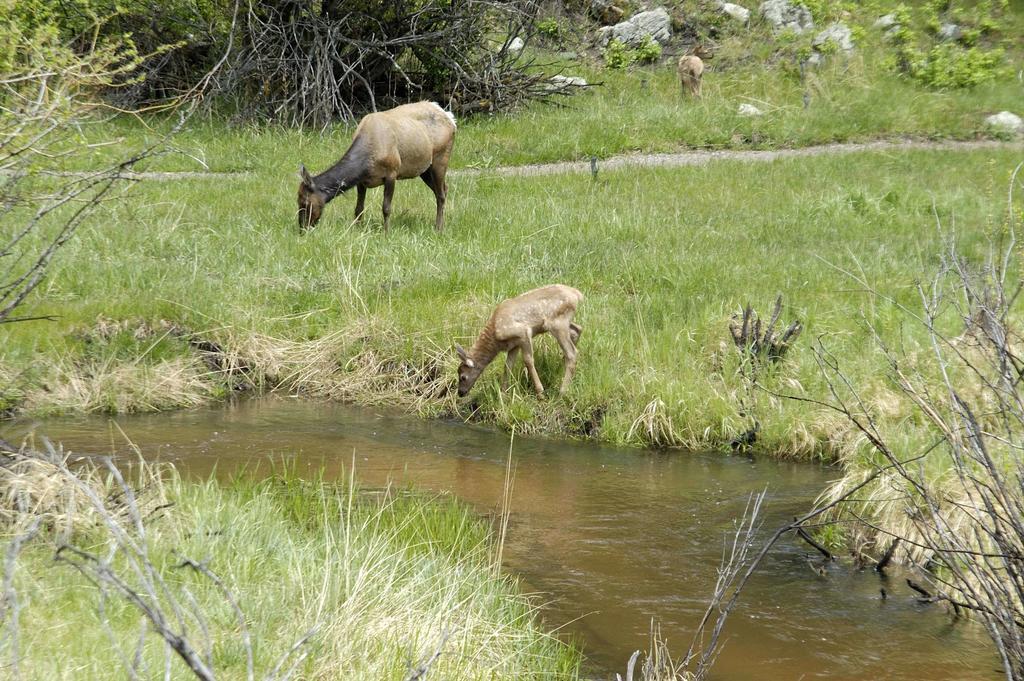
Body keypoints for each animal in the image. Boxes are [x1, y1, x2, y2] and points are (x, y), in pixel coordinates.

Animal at [296, 100, 456, 232]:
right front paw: (358, 229)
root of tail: (450, 118)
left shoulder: (392, 172)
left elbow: (386, 208)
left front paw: (386, 232)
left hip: (441, 158)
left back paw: (439, 228)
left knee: (441, 195)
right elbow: (358, 208)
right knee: (444, 189)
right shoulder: (361, 182)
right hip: (425, 169)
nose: (302, 228)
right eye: (298, 201)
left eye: (305, 202)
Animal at [456, 282, 585, 399]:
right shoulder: (514, 345)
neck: (495, 338)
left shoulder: (523, 332)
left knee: (572, 352)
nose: (460, 393)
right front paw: (503, 394)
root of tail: (577, 294)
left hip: (557, 323)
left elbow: (528, 360)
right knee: (578, 329)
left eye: (463, 376)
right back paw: (560, 366)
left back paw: (562, 392)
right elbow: (508, 366)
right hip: (562, 323)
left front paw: (540, 393)